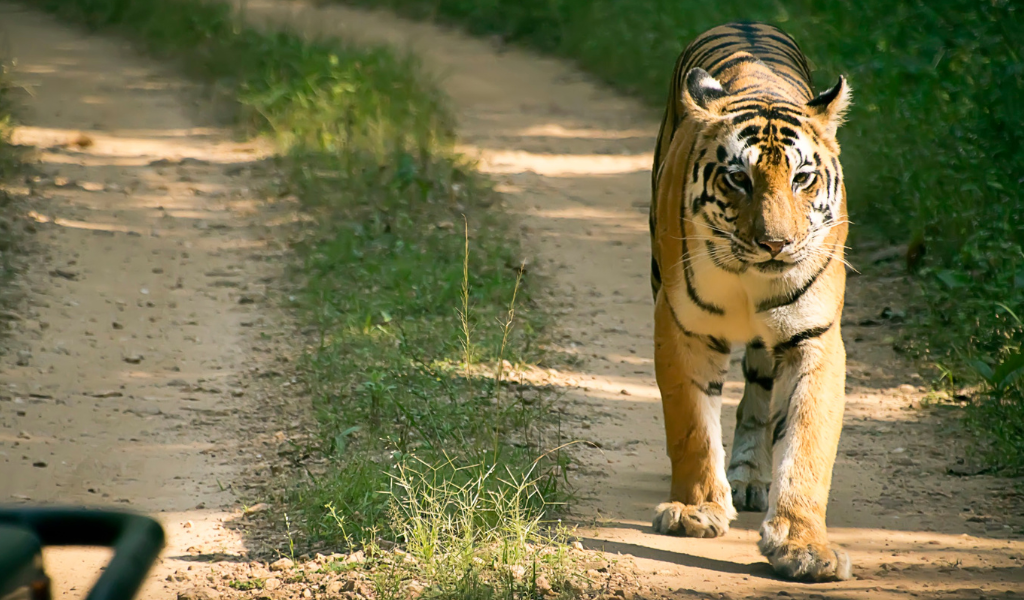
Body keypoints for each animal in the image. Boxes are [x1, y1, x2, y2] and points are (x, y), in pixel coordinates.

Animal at [648, 21, 853, 582]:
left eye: (802, 178)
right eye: (738, 178)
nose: (775, 244)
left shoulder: (815, 337)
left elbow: (807, 444)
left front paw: (804, 546)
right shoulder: (681, 326)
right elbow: (691, 426)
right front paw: (695, 511)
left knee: (759, 398)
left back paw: (750, 476)